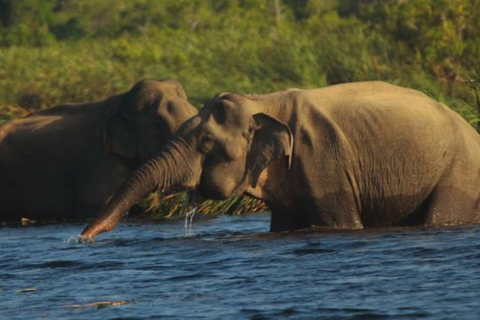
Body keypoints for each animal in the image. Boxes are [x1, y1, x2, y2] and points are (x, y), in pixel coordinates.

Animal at [80, 80, 480, 240]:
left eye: (207, 141)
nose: (82, 238)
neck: (263, 101)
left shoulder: (323, 158)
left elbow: (341, 223)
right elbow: (285, 225)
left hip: (459, 175)